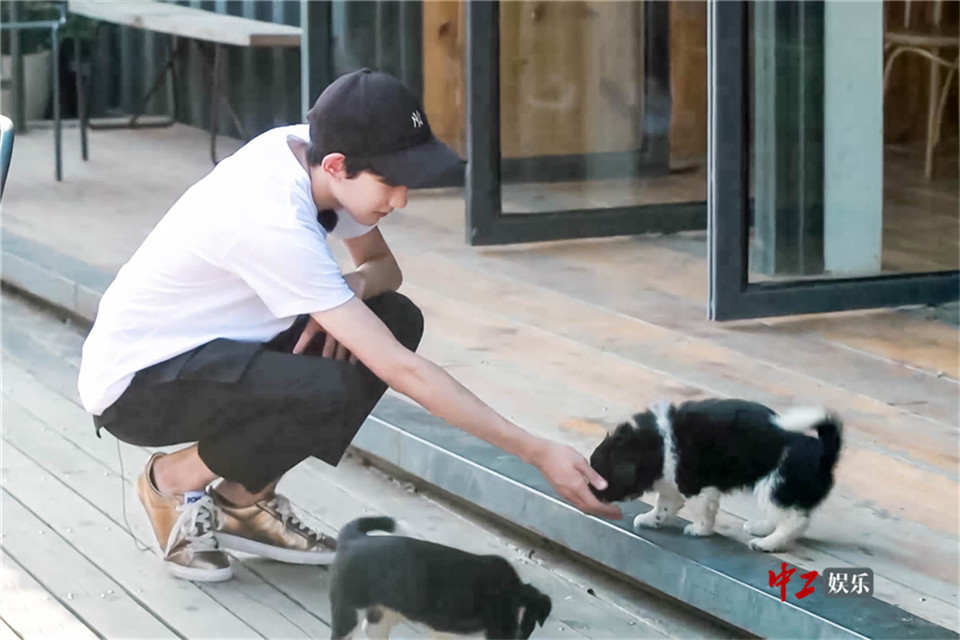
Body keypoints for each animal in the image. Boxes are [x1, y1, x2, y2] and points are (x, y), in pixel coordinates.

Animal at [329, 517, 552, 639]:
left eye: (527, 630)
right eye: (501, 628)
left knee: (373, 630)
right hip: (348, 610)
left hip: (390, 609)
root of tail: (354, 539)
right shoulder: (446, 630)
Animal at [589, 398, 842, 552]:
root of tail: (823, 451)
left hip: (775, 486)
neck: (656, 443)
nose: (591, 495)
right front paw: (651, 519)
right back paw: (760, 528)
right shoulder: (673, 486)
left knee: (794, 521)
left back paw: (767, 543)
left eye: (601, 475)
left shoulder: (696, 488)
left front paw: (700, 531)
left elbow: (703, 513)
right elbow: (663, 507)